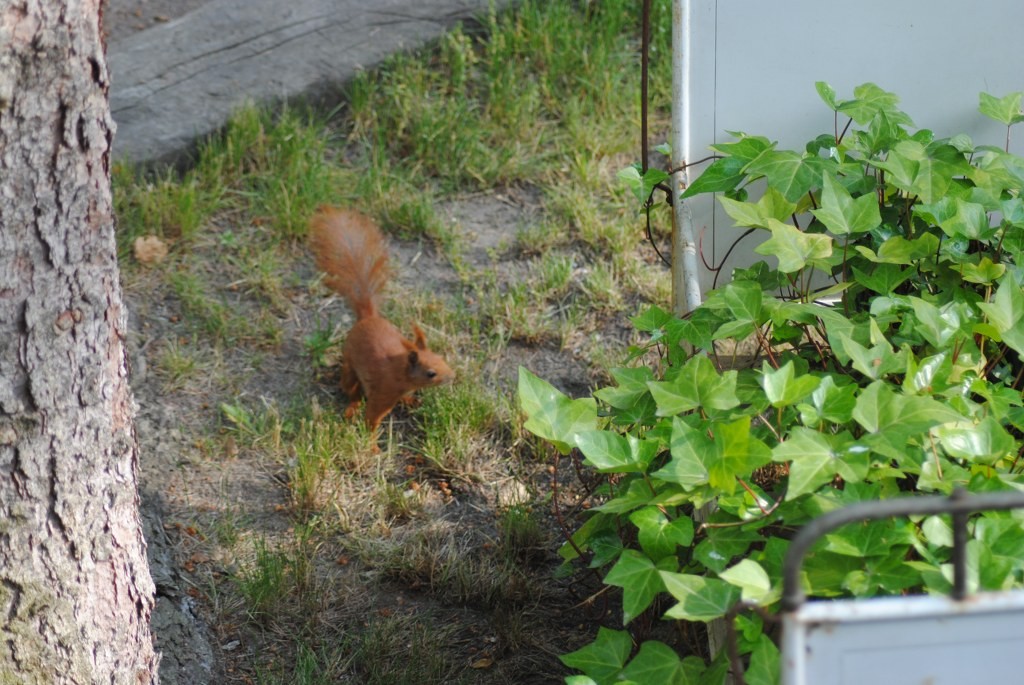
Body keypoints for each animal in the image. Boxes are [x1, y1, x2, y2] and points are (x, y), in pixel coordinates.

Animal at [309, 205, 454, 436]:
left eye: (441, 358)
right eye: (431, 373)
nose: (453, 376)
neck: (400, 372)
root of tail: (368, 317)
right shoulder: (384, 392)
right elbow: (372, 418)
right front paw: (371, 442)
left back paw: (409, 400)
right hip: (350, 365)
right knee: (351, 389)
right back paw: (352, 408)